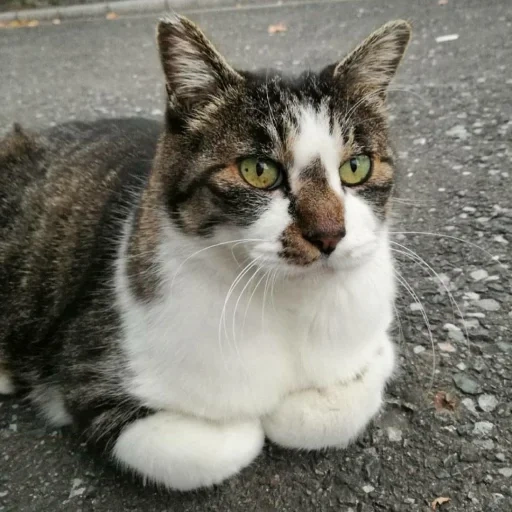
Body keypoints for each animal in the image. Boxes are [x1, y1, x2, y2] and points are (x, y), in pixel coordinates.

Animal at [0, 14, 410, 490]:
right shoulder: (89, 377)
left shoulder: (372, 334)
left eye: (356, 167)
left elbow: (343, 400)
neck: (287, 301)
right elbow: (220, 443)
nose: (328, 235)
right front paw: (251, 420)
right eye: (258, 170)